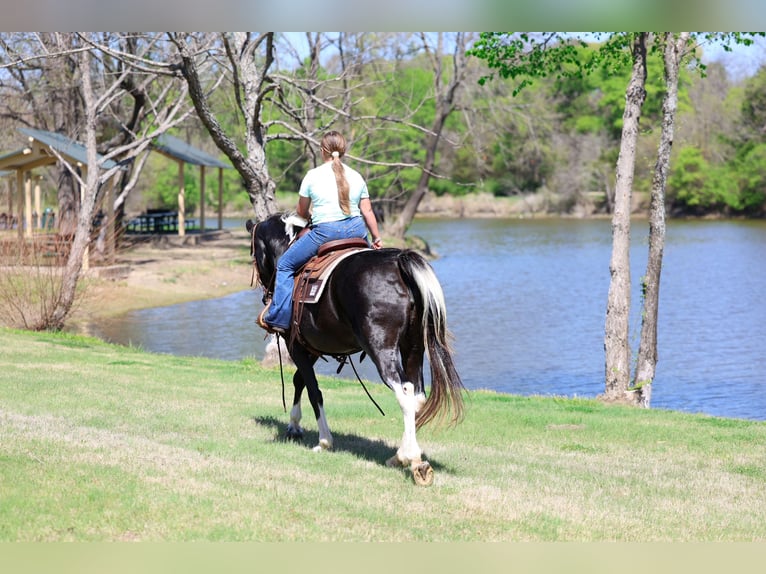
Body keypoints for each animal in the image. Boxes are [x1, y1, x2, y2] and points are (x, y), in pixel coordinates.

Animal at [246, 213, 465, 485]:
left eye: (253, 252)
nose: (266, 294)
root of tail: (398, 262)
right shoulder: (312, 348)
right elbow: (300, 381)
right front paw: (294, 426)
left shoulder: (295, 345)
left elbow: (313, 390)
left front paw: (324, 440)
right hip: (413, 349)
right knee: (416, 395)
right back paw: (400, 455)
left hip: (381, 350)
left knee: (404, 392)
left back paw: (412, 459)